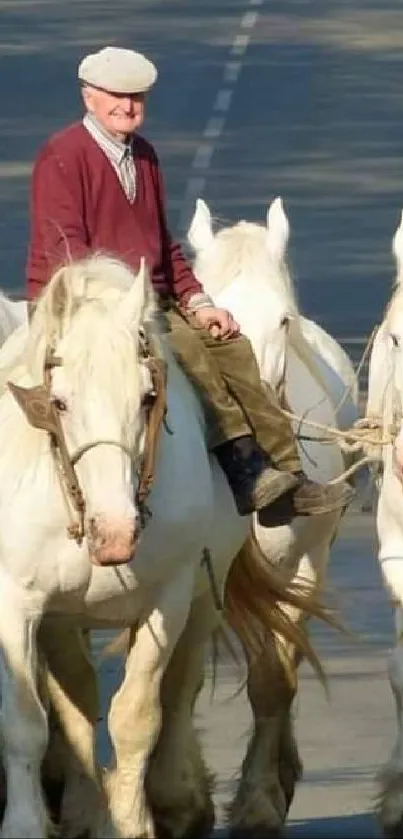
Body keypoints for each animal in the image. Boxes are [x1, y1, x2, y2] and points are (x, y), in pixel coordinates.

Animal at [0, 254, 330, 839]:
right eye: (59, 403)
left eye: (148, 398)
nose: (115, 532)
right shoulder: (20, 604)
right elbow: (27, 720)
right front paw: (28, 823)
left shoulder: (166, 600)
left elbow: (138, 716)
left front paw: (133, 821)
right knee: (79, 699)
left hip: (203, 595)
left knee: (181, 689)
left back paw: (183, 803)